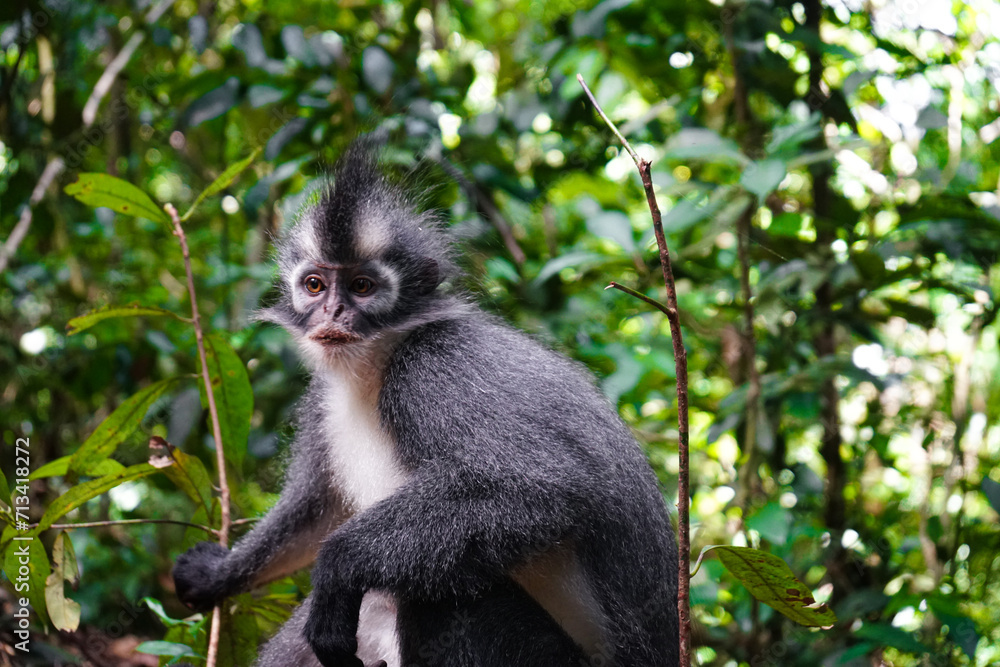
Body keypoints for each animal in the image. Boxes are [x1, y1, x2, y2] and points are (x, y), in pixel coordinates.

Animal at [176, 137, 684, 667]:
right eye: (315, 284)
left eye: (362, 286)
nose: (333, 313)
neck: (376, 365)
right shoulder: (323, 400)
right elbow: (317, 509)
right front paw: (217, 574)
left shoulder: (432, 369)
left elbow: (543, 488)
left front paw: (335, 569)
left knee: (441, 595)